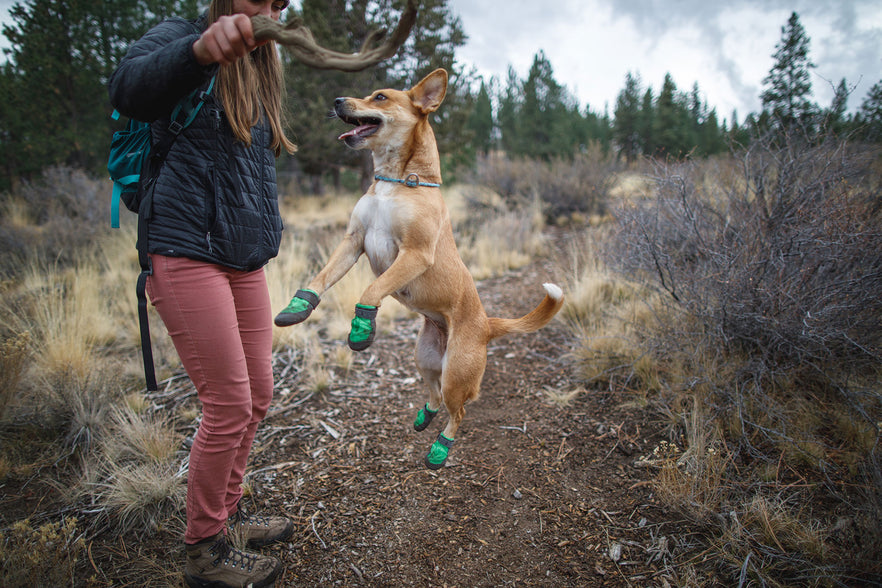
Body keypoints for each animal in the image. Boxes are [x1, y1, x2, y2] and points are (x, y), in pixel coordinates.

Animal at [276, 69, 564, 470]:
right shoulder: (353, 241)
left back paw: (440, 448)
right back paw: (425, 416)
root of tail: (487, 325)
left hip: (457, 373)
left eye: (380, 97)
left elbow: (372, 289)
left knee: (458, 411)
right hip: (425, 357)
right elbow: (322, 277)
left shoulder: (414, 254)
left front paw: (362, 327)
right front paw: (299, 307)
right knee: (435, 395)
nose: (336, 101)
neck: (396, 182)